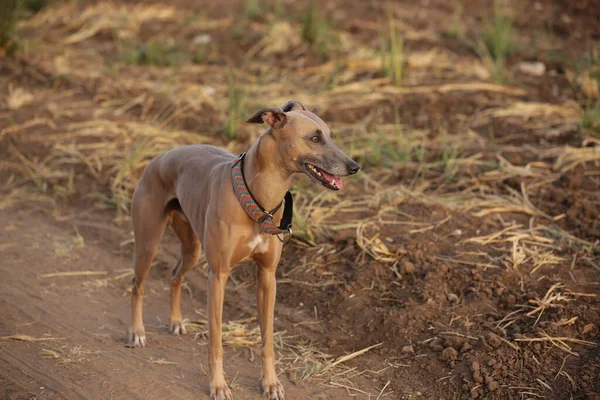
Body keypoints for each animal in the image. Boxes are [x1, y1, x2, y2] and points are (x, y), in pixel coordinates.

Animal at [128, 101, 358, 400]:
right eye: (315, 138)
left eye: (329, 134)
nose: (354, 166)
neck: (259, 198)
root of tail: (157, 158)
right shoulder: (219, 276)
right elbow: (216, 341)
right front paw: (218, 385)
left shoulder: (268, 277)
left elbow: (268, 340)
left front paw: (270, 383)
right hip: (149, 242)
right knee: (137, 285)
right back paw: (137, 332)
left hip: (192, 248)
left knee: (175, 276)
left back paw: (176, 321)